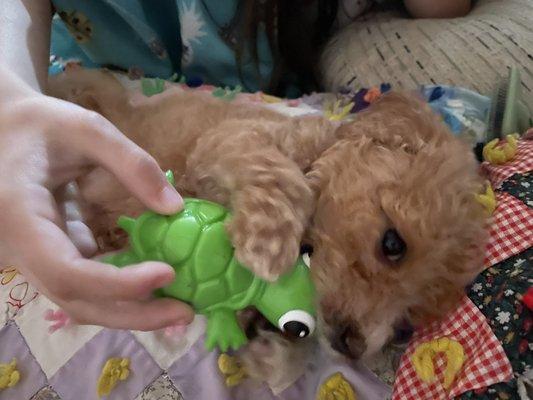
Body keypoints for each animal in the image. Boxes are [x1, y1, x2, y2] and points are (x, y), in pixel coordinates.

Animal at [50, 69, 486, 384]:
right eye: (394, 244)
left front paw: (272, 352)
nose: (353, 347)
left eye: (405, 324)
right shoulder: (227, 140)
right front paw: (269, 244)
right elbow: (280, 175)